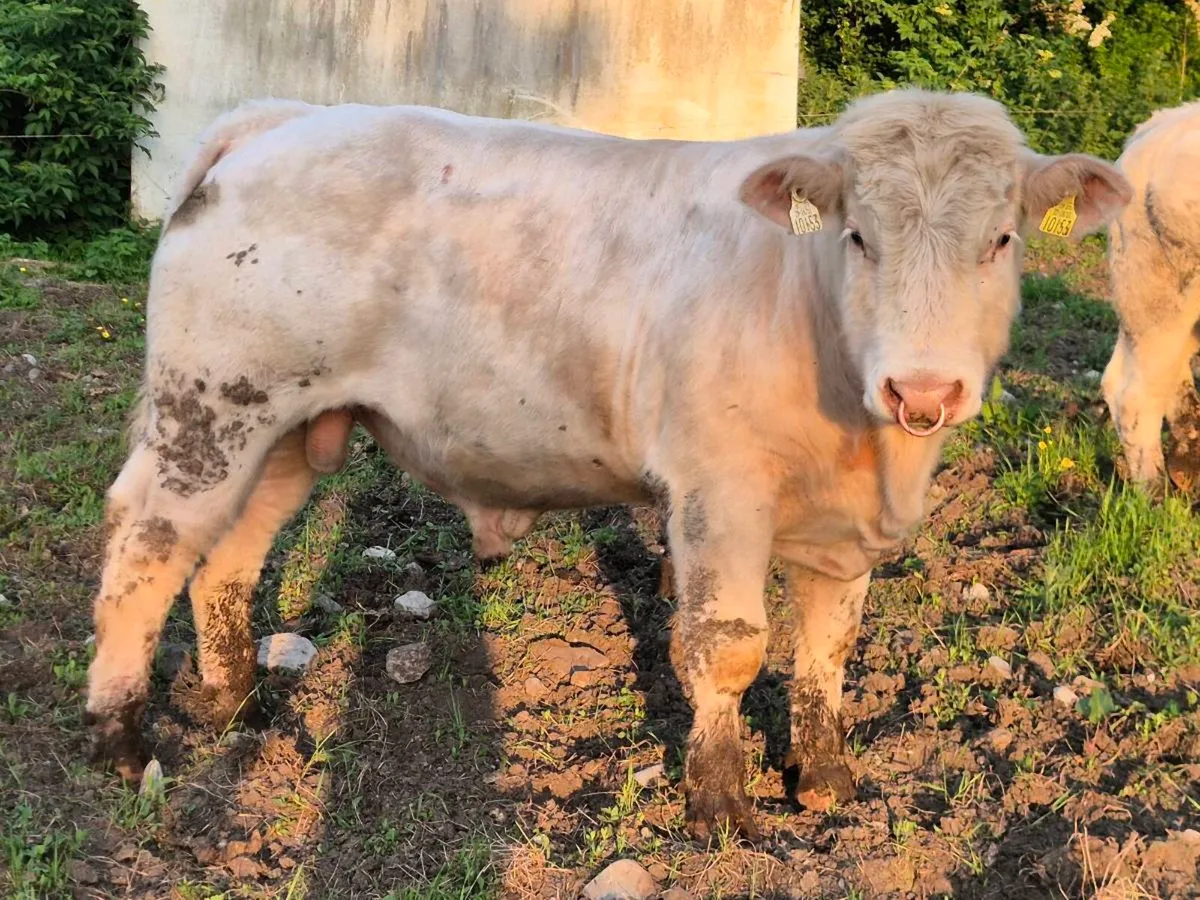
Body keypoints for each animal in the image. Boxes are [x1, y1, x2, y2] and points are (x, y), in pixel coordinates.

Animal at [85, 90, 1130, 839]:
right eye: (858, 235)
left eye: (1001, 239)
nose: (924, 389)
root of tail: (282, 117)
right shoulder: (717, 487)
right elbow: (727, 644)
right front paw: (721, 806)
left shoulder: (845, 527)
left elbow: (829, 648)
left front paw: (826, 779)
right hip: (208, 408)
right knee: (146, 548)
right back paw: (123, 741)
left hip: (292, 428)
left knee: (225, 557)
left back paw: (235, 705)